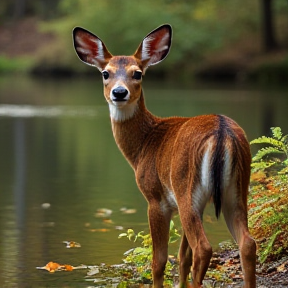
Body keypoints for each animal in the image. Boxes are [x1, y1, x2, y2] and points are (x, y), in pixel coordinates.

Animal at [73, 23, 258, 286]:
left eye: (137, 73)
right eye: (105, 73)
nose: (119, 92)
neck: (144, 145)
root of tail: (223, 133)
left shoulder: (156, 198)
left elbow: (159, 261)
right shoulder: (193, 203)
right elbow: (182, 257)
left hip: (185, 188)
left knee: (204, 247)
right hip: (236, 190)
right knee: (247, 244)